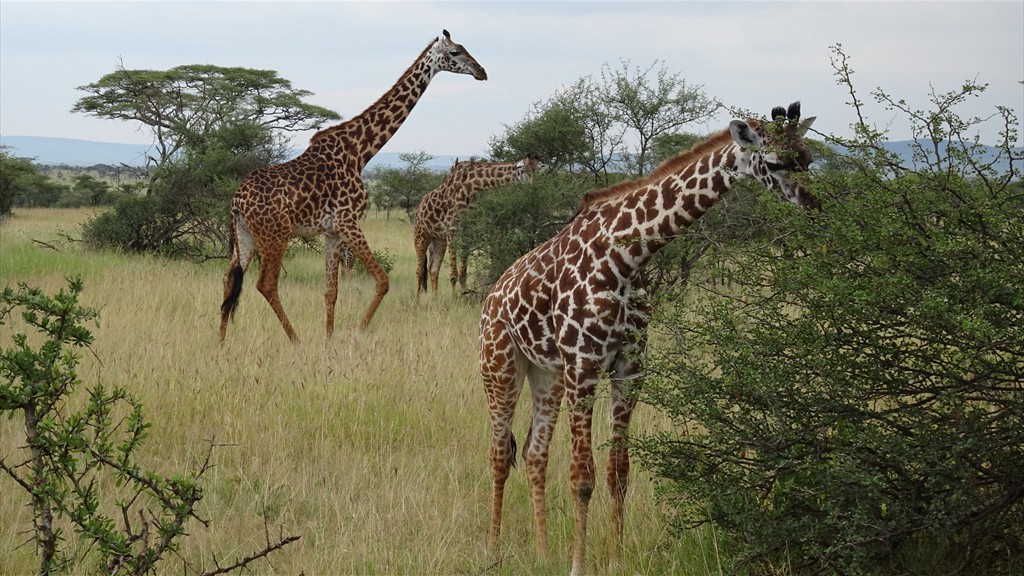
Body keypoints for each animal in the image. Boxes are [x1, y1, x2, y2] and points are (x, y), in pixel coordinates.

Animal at [217, 30, 487, 340]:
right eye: (455, 52)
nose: (482, 72)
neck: (359, 151)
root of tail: (236, 200)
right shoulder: (349, 221)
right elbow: (382, 281)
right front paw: (357, 334)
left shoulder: (332, 231)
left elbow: (331, 292)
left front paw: (329, 339)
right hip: (275, 234)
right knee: (266, 284)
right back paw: (295, 341)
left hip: (245, 235)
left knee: (228, 278)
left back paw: (221, 342)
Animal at [413, 154, 544, 295]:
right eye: (524, 171)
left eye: (537, 171)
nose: (533, 188)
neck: (471, 186)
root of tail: (418, 209)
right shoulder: (452, 228)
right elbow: (453, 274)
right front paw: (454, 297)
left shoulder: (468, 230)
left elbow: (463, 273)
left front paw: (464, 294)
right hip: (421, 236)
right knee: (419, 271)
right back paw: (417, 300)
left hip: (438, 239)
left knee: (433, 269)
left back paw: (435, 299)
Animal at [477, 100, 815, 569]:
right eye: (777, 162)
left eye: (809, 158)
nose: (815, 204)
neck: (625, 258)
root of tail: (491, 298)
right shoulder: (584, 365)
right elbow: (582, 476)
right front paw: (579, 565)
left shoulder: (629, 368)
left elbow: (619, 471)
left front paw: (616, 558)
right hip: (500, 367)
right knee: (497, 454)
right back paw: (492, 550)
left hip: (546, 375)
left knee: (533, 453)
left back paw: (543, 553)